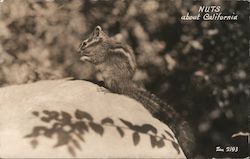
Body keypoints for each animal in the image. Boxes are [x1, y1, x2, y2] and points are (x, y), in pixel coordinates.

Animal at [77, 25, 196, 158]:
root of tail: (127, 86)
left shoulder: (100, 54)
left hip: (112, 78)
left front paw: (83, 57)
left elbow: (94, 59)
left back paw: (105, 89)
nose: (78, 50)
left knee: (117, 91)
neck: (101, 42)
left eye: (84, 43)